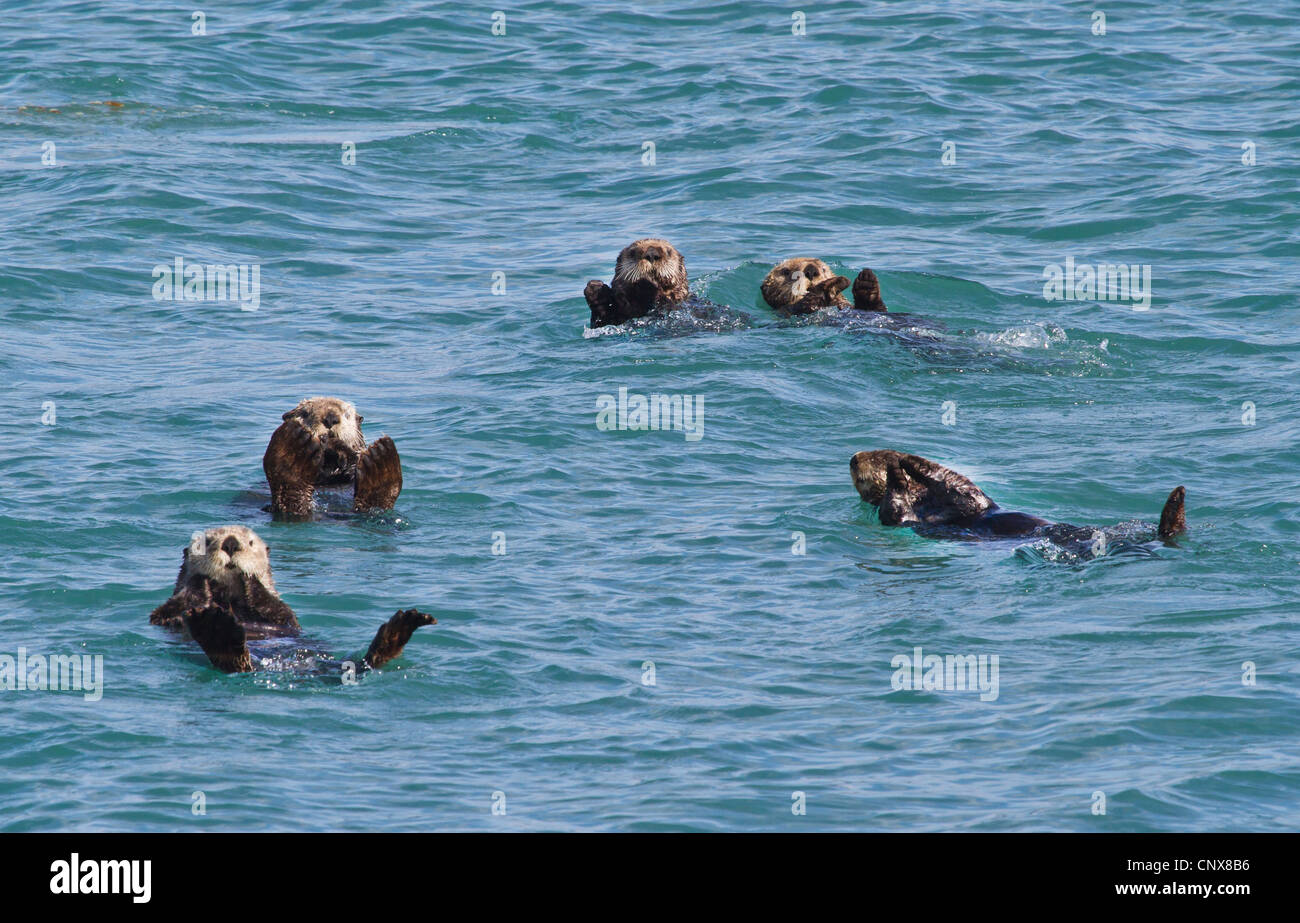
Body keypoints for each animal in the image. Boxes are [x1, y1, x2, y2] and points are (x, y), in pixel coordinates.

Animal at [146, 525, 431, 676]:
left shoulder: (284, 615)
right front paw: (201, 579)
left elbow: (276, 607)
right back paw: (217, 631)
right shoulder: (166, 612)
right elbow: (174, 608)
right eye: (207, 540)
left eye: (250, 542)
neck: (229, 600)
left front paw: (250, 577)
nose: (230, 543)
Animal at [847, 449, 1185, 546]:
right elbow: (893, 506)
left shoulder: (969, 498)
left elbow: (955, 480)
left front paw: (905, 461)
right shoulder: (897, 516)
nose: (853, 458)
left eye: (874, 454)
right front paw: (897, 472)